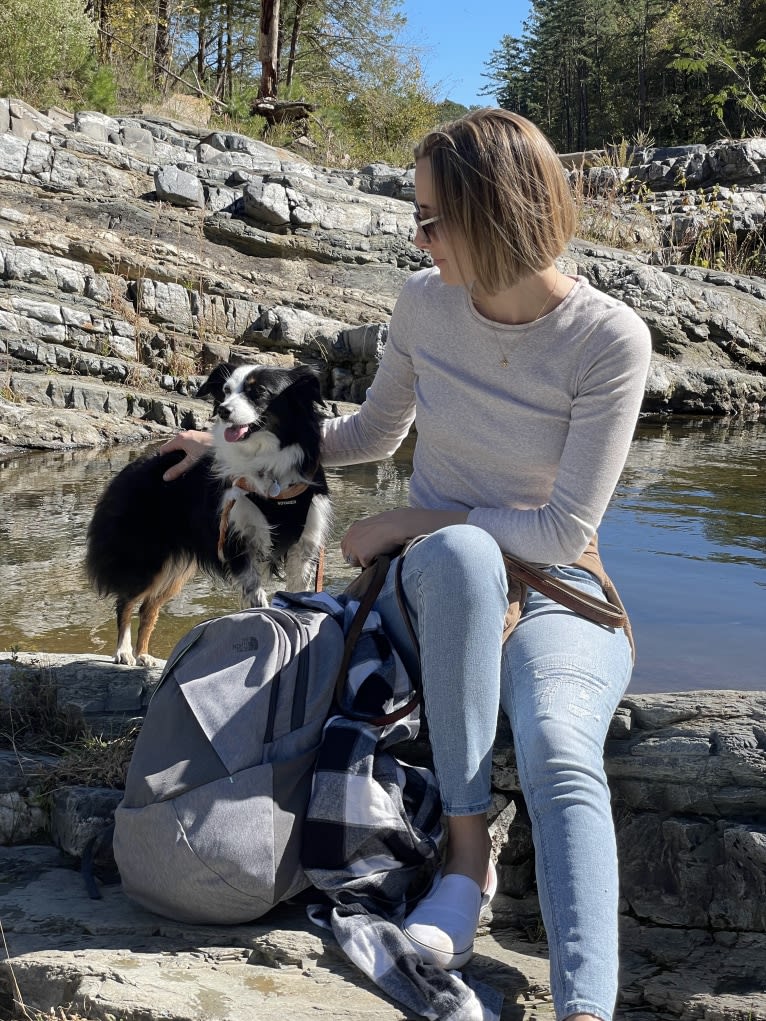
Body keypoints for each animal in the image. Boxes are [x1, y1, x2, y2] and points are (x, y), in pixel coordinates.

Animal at [86, 363, 332, 665]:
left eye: (259, 392)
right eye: (225, 391)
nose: (224, 411)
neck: (269, 467)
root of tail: (131, 467)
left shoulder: (304, 545)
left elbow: (299, 592)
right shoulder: (237, 539)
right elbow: (256, 594)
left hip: (175, 568)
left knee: (148, 607)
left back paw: (144, 655)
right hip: (147, 555)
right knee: (127, 601)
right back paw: (124, 652)